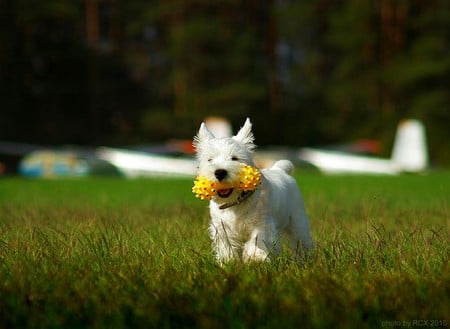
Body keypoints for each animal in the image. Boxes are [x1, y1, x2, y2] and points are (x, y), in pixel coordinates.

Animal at [193, 118, 312, 262]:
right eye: (210, 159)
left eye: (235, 158)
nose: (220, 172)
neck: (235, 203)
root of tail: (279, 169)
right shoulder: (222, 228)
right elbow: (227, 247)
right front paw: (228, 261)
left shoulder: (262, 224)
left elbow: (257, 241)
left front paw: (255, 259)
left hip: (297, 221)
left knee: (301, 241)